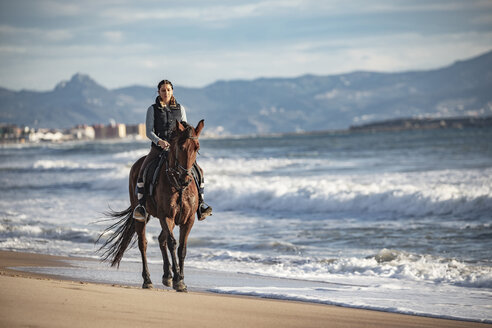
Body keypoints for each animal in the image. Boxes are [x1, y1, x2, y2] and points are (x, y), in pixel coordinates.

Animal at [97, 118, 205, 292]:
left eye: (197, 147)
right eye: (180, 147)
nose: (185, 179)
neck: (178, 186)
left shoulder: (188, 219)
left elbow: (182, 248)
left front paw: (180, 279)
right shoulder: (166, 216)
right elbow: (172, 244)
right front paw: (178, 279)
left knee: (161, 239)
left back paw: (167, 276)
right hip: (143, 216)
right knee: (144, 244)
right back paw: (147, 280)